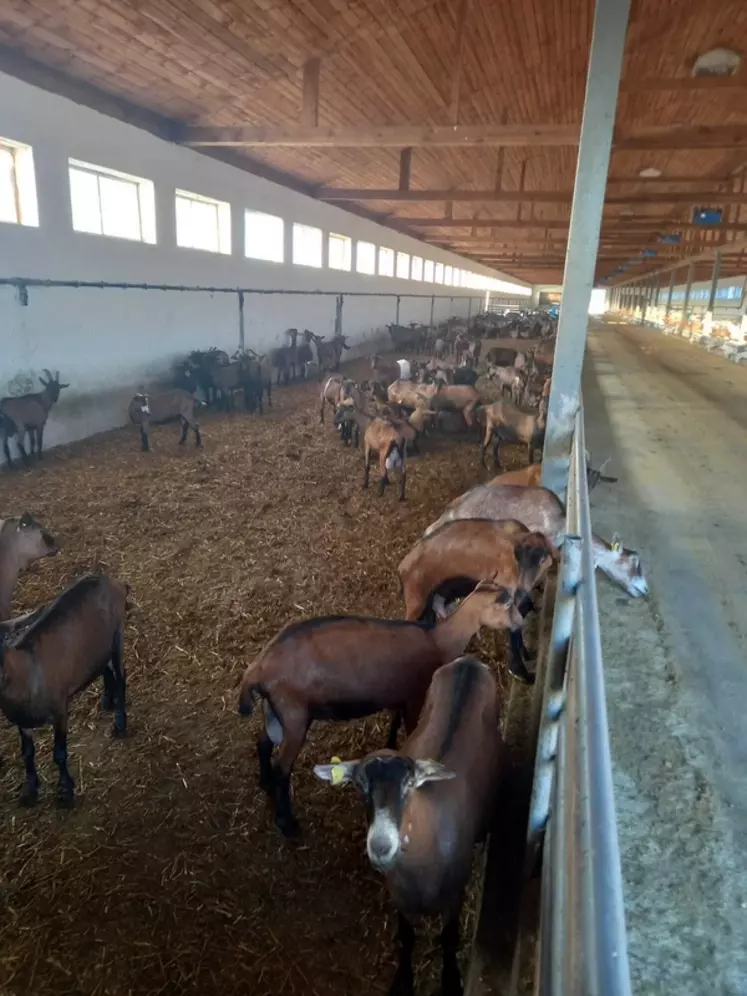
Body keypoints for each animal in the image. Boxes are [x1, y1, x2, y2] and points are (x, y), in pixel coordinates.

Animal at [0, 572, 129, 804]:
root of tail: (111, 580)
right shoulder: (22, 722)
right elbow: (27, 754)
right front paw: (30, 790)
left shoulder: (60, 710)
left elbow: (59, 754)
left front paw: (65, 791)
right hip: (97, 646)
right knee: (103, 667)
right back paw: (107, 699)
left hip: (117, 634)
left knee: (121, 678)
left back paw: (120, 723)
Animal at [237, 584, 524, 832]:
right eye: (507, 604)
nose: (520, 623)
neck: (438, 640)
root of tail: (258, 669)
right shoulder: (415, 696)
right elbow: (410, 727)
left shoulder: (398, 695)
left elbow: (394, 721)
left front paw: (391, 745)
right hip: (295, 715)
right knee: (282, 768)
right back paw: (287, 824)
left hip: (276, 712)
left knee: (263, 743)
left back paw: (265, 783)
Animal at [312, 652, 506, 996]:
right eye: (359, 787)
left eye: (409, 785)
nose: (380, 847)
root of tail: (468, 663)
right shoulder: (399, 896)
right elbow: (406, 938)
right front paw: (402, 980)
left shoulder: (454, 895)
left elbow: (449, 939)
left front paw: (451, 981)